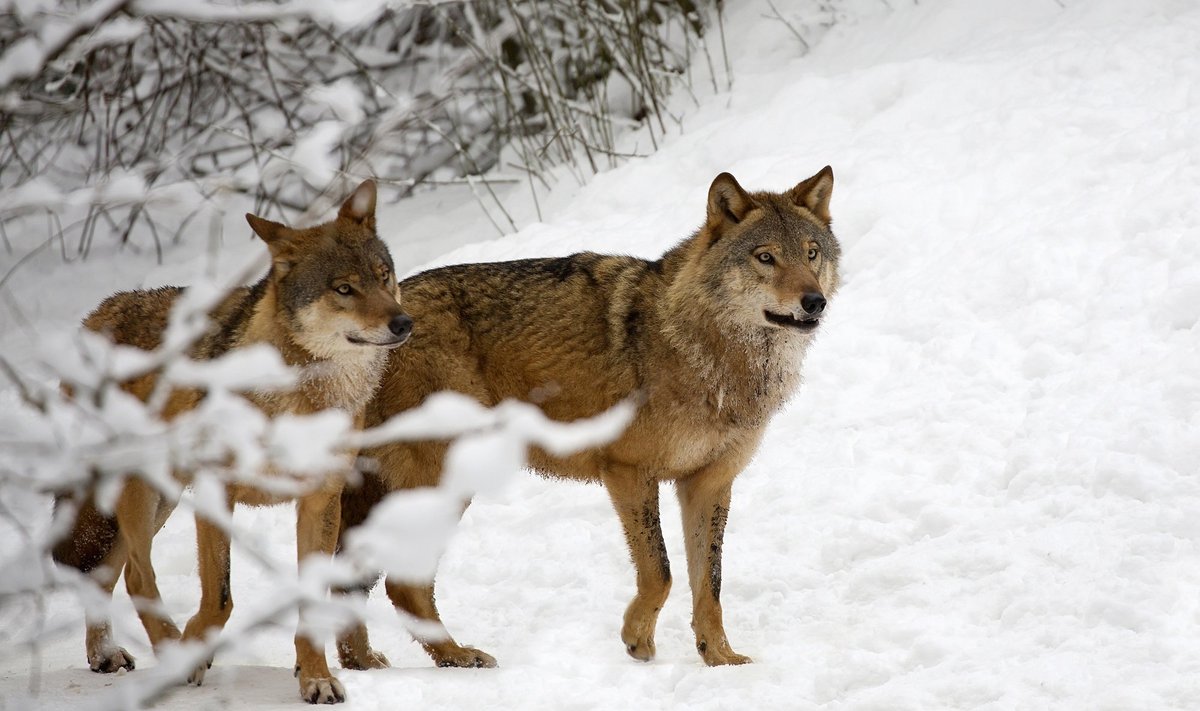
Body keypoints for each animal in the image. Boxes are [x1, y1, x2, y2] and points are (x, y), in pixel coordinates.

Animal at [51, 180, 410, 701]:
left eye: (385, 277)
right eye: (344, 289)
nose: (403, 324)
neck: (303, 392)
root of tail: (99, 312)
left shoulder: (320, 501)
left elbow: (310, 602)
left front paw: (316, 678)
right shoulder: (216, 492)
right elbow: (220, 599)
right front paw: (194, 654)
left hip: (161, 501)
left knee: (111, 571)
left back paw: (106, 655)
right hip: (142, 492)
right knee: (137, 575)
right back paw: (166, 653)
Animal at [326, 169, 835, 667]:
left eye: (811, 254)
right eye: (765, 257)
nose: (814, 301)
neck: (710, 355)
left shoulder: (708, 483)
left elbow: (708, 584)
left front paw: (720, 659)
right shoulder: (629, 472)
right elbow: (661, 573)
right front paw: (637, 641)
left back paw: (365, 662)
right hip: (442, 483)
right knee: (401, 584)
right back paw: (455, 656)